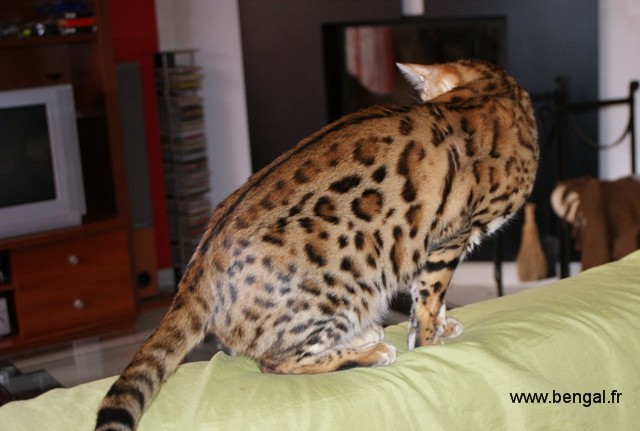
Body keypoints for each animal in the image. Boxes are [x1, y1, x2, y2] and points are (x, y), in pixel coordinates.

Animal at [95, 59, 538, 431]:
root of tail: (196, 271)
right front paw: (432, 342)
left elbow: (427, 297)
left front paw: (442, 325)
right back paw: (369, 351)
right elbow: (430, 299)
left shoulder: (432, 245)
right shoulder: (450, 237)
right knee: (275, 361)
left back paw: (364, 336)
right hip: (347, 281)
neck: (493, 92)